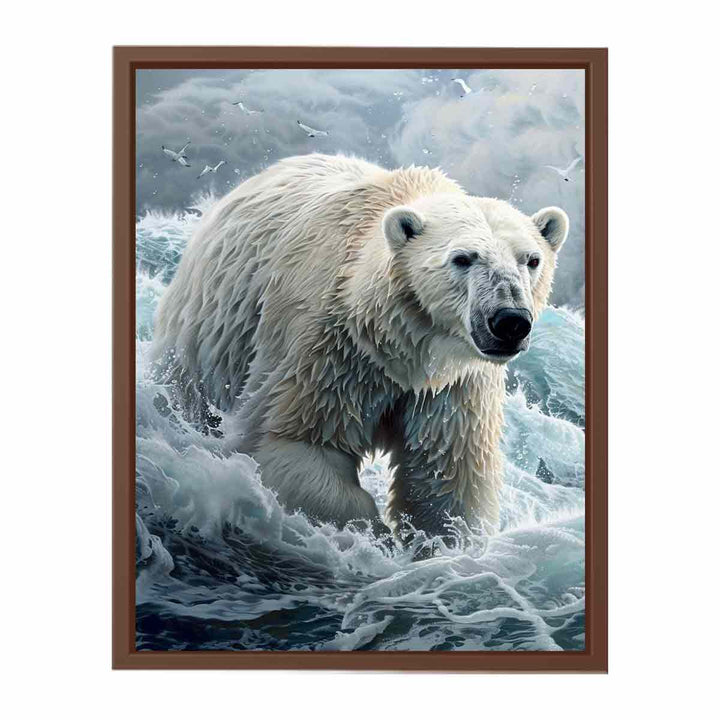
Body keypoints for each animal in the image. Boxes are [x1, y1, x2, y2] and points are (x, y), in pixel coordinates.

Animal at [152, 153, 568, 539]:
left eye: (531, 260)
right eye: (463, 258)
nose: (509, 321)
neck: (402, 344)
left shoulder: (454, 385)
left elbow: (446, 478)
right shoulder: (329, 350)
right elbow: (296, 443)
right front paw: (374, 535)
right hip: (210, 332)